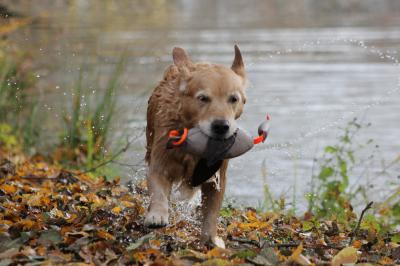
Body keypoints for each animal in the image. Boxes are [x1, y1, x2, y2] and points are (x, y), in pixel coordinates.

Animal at [145, 45, 247, 247]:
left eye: (233, 99)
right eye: (203, 98)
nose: (221, 126)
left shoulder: (217, 178)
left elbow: (211, 211)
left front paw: (211, 238)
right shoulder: (160, 162)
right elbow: (158, 190)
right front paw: (157, 214)